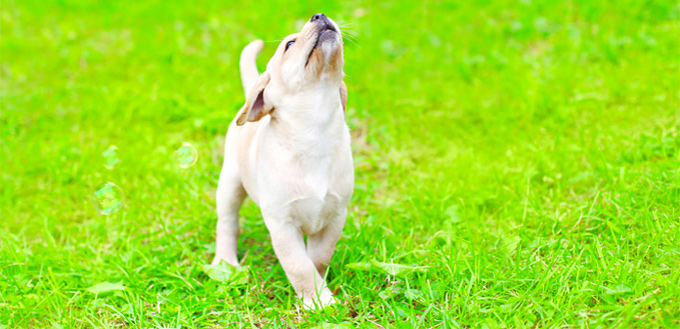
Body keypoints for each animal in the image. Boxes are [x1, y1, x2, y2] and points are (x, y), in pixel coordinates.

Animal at [212, 14, 354, 308]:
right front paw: (318, 302)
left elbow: (318, 259)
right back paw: (225, 263)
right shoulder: (282, 224)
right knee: (227, 223)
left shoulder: (336, 216)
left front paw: (320, 290)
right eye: (289, 44)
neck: (315, 129)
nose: (319, 16)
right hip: (230, 184)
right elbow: (300, 266)